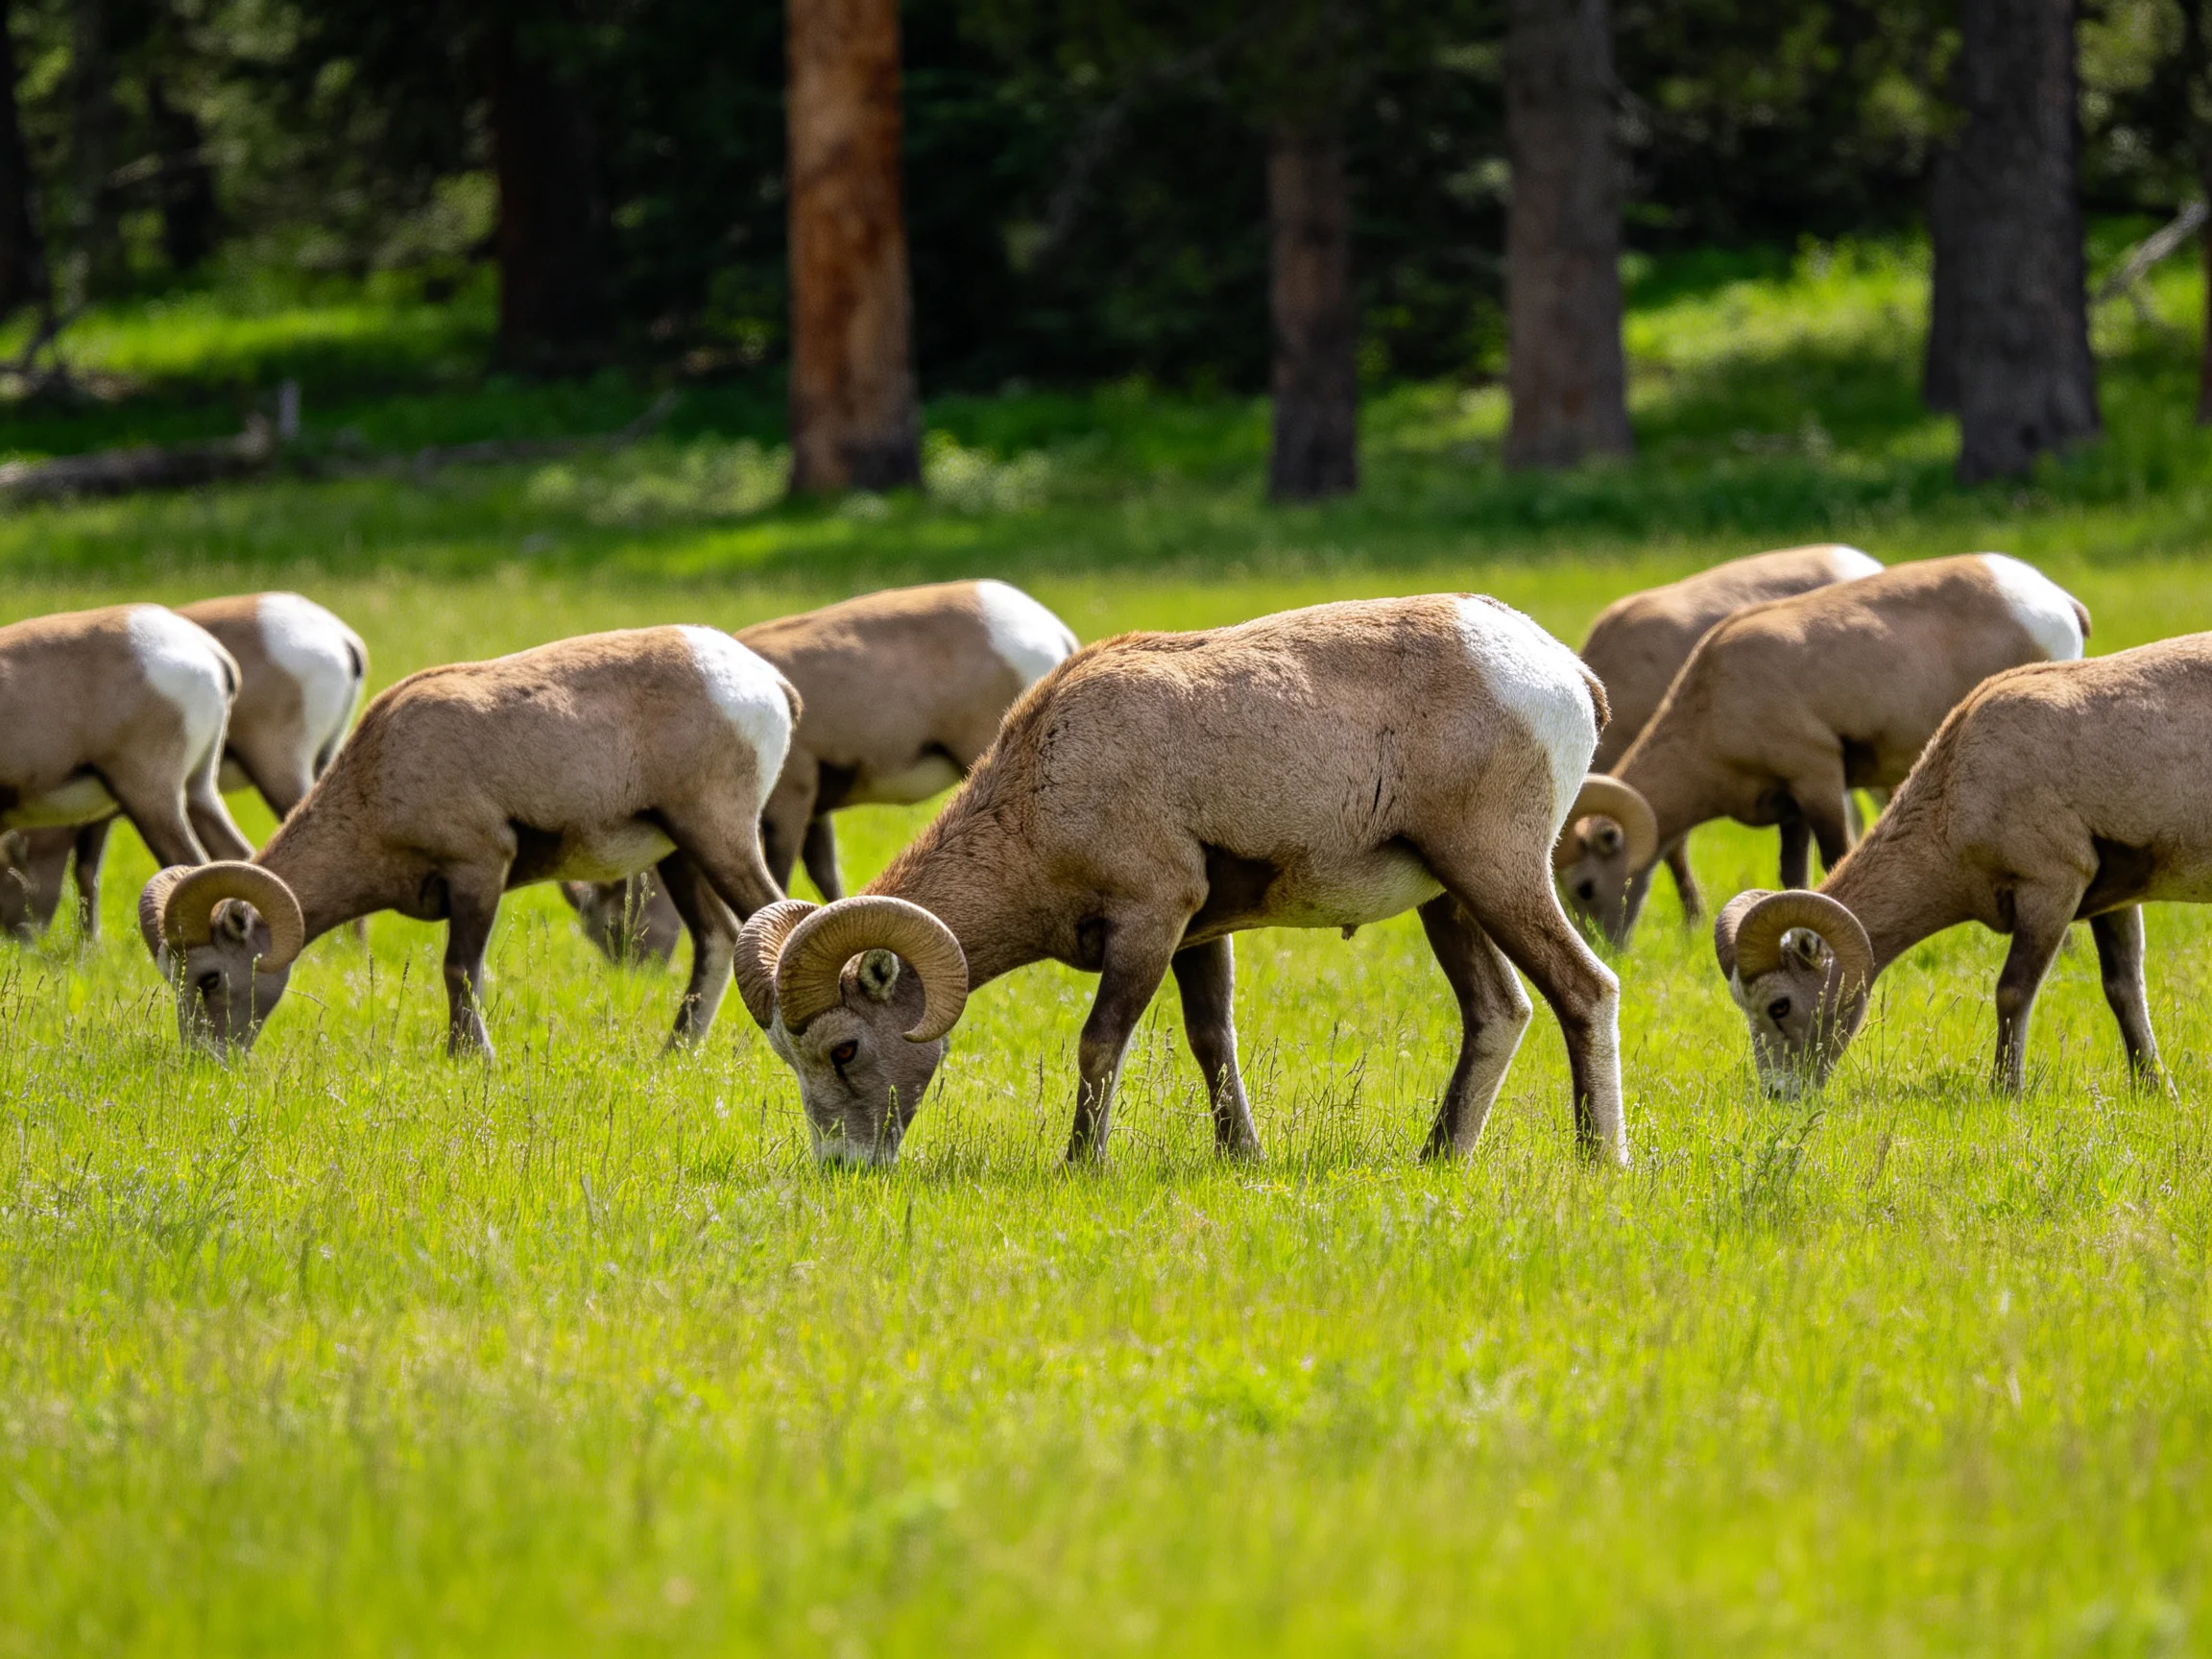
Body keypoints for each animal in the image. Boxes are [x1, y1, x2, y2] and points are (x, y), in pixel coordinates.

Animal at [135, 626, 796, 1056]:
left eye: (209, 979)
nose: (204, 1061)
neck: (379, 782)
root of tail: (767, 684)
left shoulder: (477, 869)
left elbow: (460, 970)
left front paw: (470, 1059)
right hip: (680, 853)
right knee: (716, 940)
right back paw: (674, 1055)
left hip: (716, 837)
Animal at [564, 578, 1077, 963]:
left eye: (613, 926)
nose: (637, 973)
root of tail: (1052, 632)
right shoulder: (816, 812)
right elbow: (828, 880)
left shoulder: (792, 801)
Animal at [728, 595, 1630, 1169]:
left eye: (845, 1049)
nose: (844, 1167)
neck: (1045, 785)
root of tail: (1566, 675)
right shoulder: (1203, 935)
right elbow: (1211, 1043)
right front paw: (1243, 1159)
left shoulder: (1149, 922)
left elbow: (1100, 1042)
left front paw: (1079, 1167)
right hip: (1450, 899)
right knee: (1498, 1013)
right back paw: (1436, 1157)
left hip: (1496, 873)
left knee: (1583, 990)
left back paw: (1598, 1162)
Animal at [1713, 634, 2212, 1095]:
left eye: (1779, 1005)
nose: (1779, 1094)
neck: (1956, 791)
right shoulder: (2113, 900)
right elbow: (2123, 989)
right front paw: (2154, 1089)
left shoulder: (2050, 890)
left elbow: (2012, 991)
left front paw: (2004, 1091)